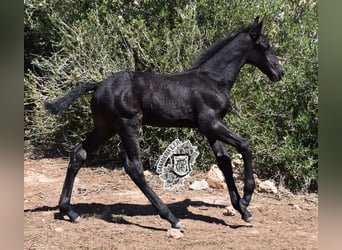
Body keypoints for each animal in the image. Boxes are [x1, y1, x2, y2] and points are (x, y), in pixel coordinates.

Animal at [44, 16, 284, 229]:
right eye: (265, 46)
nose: (279, 72)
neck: (214, 80)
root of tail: (99, 84)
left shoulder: (210, 129)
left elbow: (224, 162)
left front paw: (242, 210)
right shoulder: (210, 123)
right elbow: (245, 145)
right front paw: (246, 198)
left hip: (105, 127)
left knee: (79, 154)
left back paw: (69, 211)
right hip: (128, 125)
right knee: (134, 167)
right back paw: (171, 218)